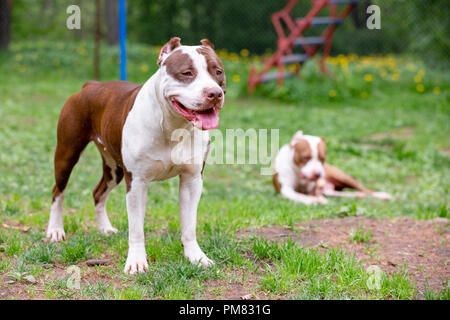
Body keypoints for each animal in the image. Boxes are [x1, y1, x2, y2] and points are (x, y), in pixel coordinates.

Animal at [46, 37, 225, 272]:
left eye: (218, 72)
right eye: (187, 73)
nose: (215, 93)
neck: (172, 125)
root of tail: (91, 85)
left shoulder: (192, 180)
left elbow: (189, 225)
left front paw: (196, 257)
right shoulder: (137, 182)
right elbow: (137, 228)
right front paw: (137, 262)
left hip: (114, 169)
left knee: (98, 192)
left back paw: (105, 228)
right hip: (67, 153)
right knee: (58, 191)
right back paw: (55, 230)